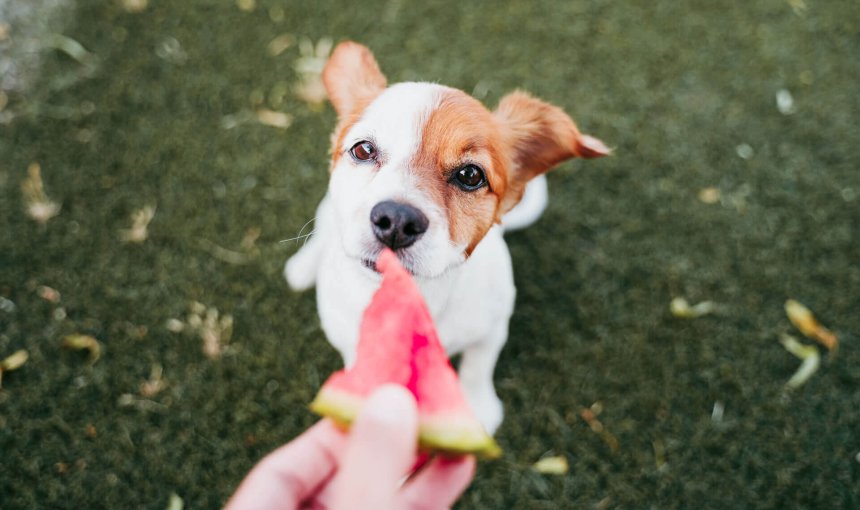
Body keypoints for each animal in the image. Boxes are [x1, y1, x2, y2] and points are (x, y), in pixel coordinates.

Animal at [286, 41, 608, 434]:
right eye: (363, 150)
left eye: (471, 175)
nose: (396, 220)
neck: (421, 296)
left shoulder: (492, 327)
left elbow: (478, 367)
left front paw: (477, 408)